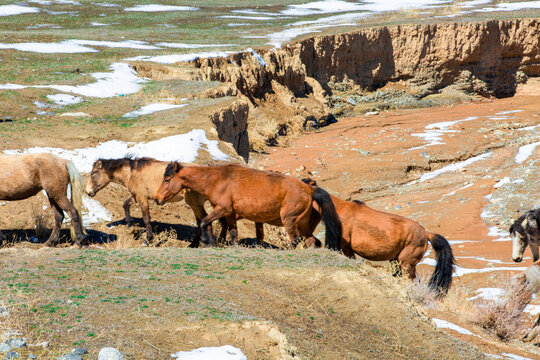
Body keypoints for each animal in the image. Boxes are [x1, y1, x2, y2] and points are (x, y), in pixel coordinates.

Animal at [84, 156, 228, 246]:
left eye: (93, 174)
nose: (88, 191)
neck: (132, 173)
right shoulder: (137, 196)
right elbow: (125, 204)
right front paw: (130, 225)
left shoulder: (142, 198)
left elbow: (146, 218)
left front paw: (147, 240)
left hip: (195, 204)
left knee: (205, 221)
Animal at [154, 162, 340, 249]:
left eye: (167, 179)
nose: (157, 198)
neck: (217, 179)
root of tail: (309, 189)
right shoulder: (229, 213)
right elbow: (233, 232)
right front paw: (232, 245)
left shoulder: (223, 209)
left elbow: (204, 221)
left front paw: (209, 242)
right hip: (303, 224)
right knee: (312, 241)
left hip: (289, 220)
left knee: (295, 240)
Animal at [302, 179, 454, 296]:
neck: (338, 211)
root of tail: (426, 233)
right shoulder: (347, 249)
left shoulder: (342, 246)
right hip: (396, 262)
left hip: (406, 263)